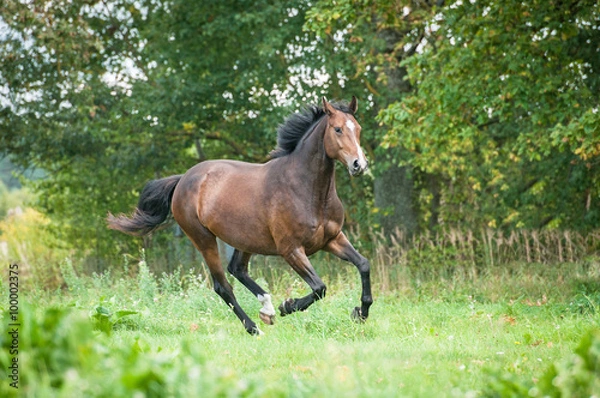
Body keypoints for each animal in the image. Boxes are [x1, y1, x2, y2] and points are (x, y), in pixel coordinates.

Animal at [106, 97, 370, 336]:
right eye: (337, 129)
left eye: (357, 128)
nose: (359, 165)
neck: (307, 190)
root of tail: (182, 180)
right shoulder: (291, 249)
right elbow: (319, 287)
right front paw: (287, 306)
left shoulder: (333, 238)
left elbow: (363, 265)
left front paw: (360, 313)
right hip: (204, 240)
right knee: (223, 286)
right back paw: (254, 327)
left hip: (246, 239)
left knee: (237, 269)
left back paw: (266, 309)